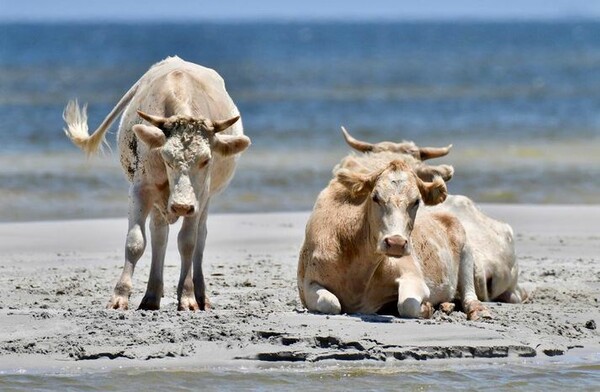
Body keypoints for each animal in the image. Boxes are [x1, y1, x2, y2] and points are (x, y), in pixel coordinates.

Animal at [64, 56, 252, 310]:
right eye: (166, 157)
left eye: (206, 160)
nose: (181, 206)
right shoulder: (141, 189)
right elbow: (135, 242)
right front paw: (119, 296)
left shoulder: (199, 198)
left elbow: (188, 242)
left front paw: (187, 297)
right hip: (158, 201)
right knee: (159, 235)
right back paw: (151, 295)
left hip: (205, 200)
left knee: (200, 238)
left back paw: (200, 295)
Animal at [298, 158, 490, 320]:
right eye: (375, 197)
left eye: (416, 201)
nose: (396, 243)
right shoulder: (307, 284)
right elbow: (330, 303)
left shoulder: (413, 275)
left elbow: (407, 305)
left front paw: (427, 307)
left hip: (466, 249)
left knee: (469, 294)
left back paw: (477, 310)